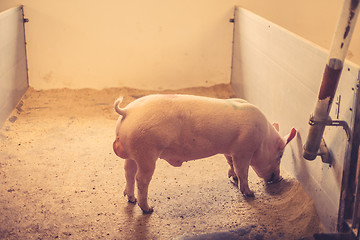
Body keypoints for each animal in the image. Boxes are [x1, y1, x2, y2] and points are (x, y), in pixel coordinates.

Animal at [112, 94, 296, 214]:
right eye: (280, 155)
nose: (279, 178)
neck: (263, 139)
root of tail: (127, 111)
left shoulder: (229, 150)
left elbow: (230, 164)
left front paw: (232, 178)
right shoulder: (243, 150)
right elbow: (242, 171)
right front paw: (250, 194)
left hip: (133, 154)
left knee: (128, 171)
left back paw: (131, 199)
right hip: (146, 152)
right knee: (141, 179)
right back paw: (148, 209)